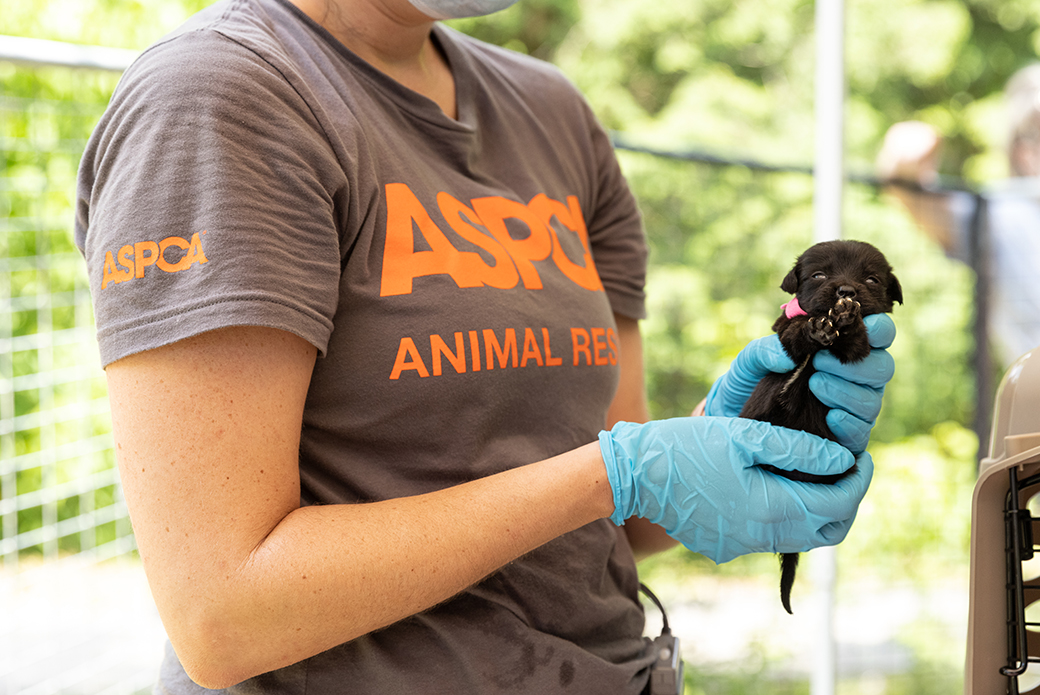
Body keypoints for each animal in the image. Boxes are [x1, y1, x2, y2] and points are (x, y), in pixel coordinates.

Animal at [740, 240, 902, 611]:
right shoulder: (783, 328)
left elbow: (857, 343)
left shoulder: (860, 351)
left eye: (871, 280)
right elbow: (792, 333)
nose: (846, 291)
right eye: (818, 275)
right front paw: (815, 328)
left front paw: (847, 318)